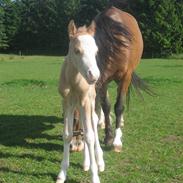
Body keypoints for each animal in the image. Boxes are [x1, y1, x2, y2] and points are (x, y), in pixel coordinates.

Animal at [57, 20, 105, 183]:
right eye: (77, 50)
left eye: (96, 51)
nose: (94, 75)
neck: (74, 81)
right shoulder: (67, 103)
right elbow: (67, 134)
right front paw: (62, 174)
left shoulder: (85, 101)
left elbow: (90, 136)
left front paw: (95, 176)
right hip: (78, 105)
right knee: (84, 126)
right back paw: (86, 163)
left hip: (90, 101)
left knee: (93, 123)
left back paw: (99, 161)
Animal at [71, 5, 153, 152]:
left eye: (76, 120)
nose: (74, 146)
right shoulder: (102, 79)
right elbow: (106, 105)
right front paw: (108, 135)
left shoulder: (125, 77)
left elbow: (119, 106)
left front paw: (116, 141)